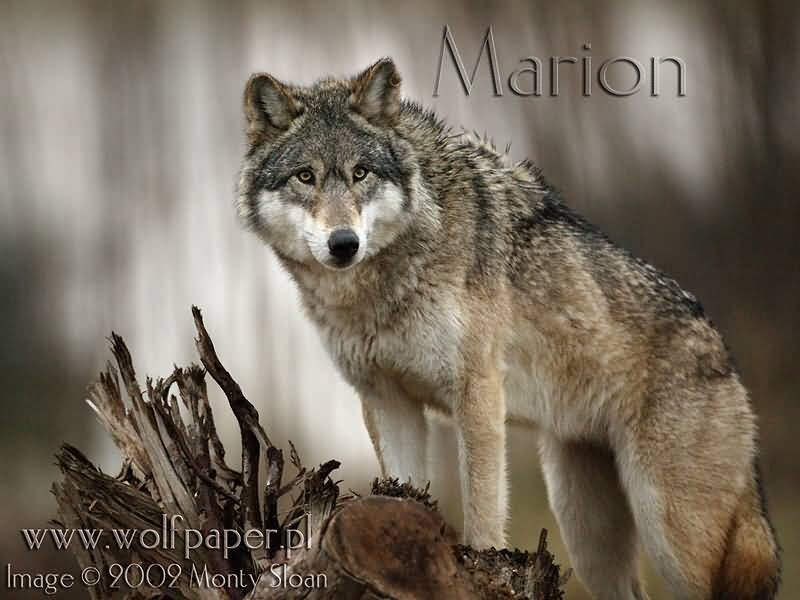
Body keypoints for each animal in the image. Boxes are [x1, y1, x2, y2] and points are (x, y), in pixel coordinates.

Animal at [236, 58, 780, 599]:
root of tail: (720, 346)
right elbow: (402, 489)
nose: (344, 243)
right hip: (586, 531)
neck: (381, 288)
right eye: (305, 176)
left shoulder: (477, 390)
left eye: (360, 173)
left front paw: (480, 561)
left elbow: (481, 507)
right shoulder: (387, 400)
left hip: (670, 534)